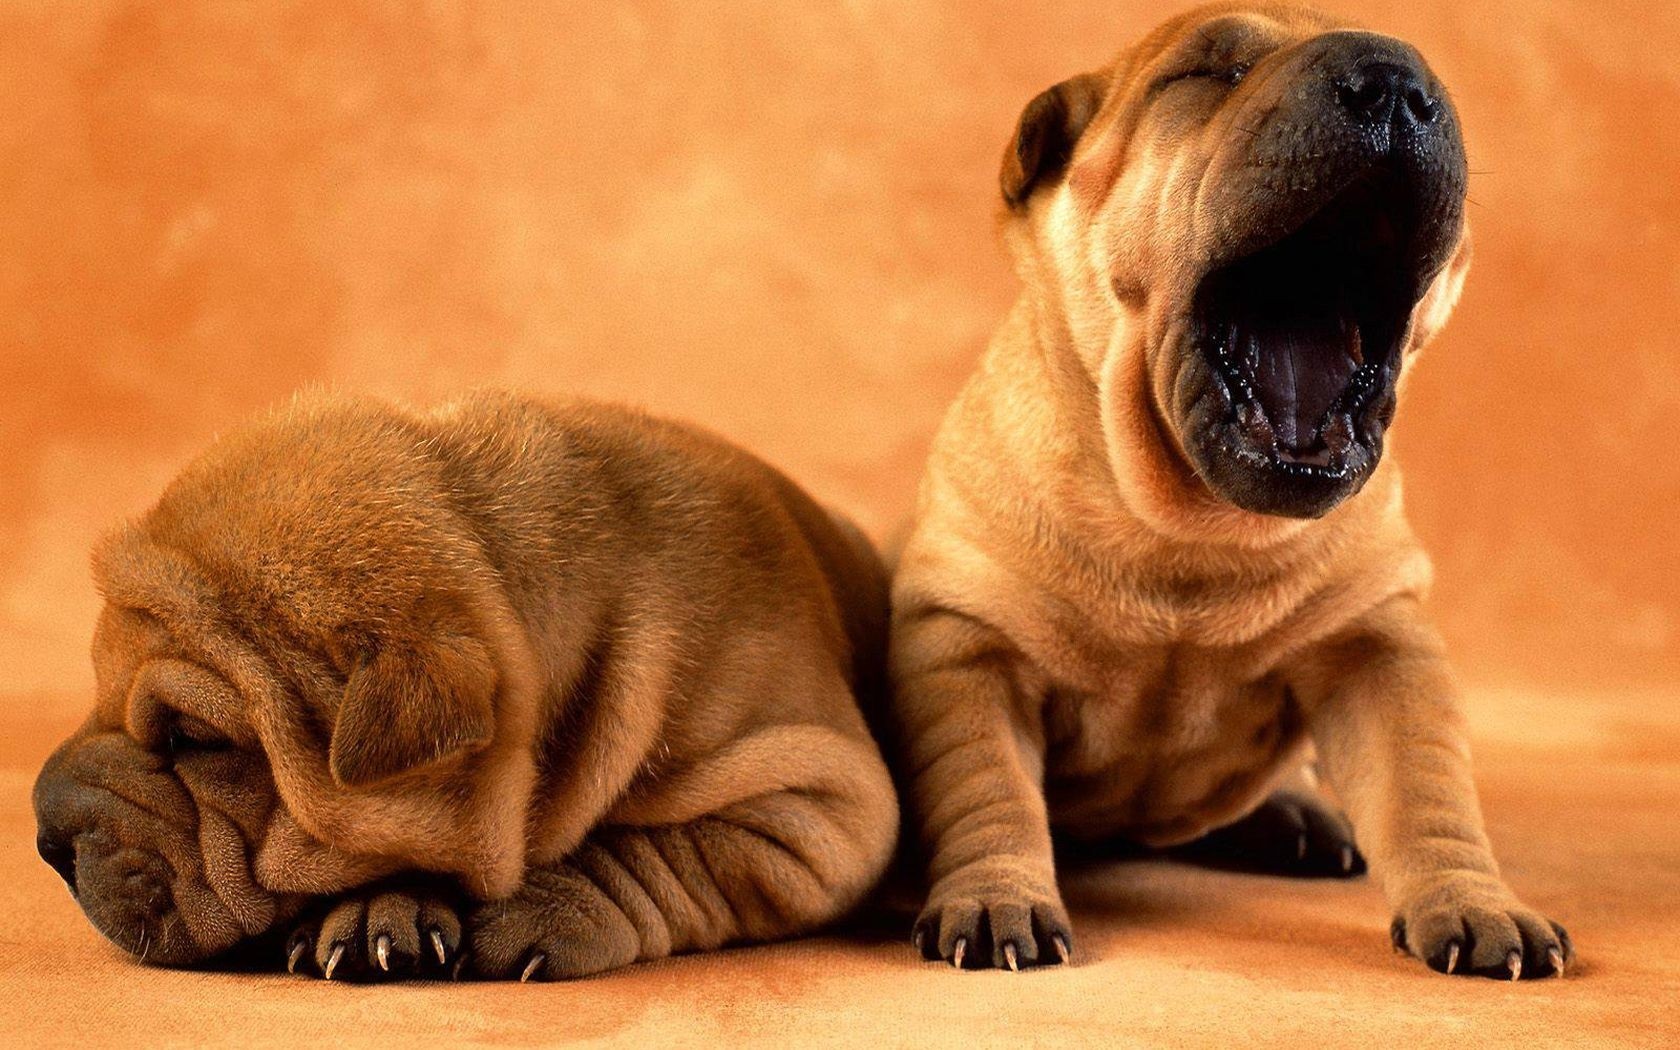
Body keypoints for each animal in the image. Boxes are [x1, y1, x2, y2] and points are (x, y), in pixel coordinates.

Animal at [32, 389, 900, 981]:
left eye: (195, 739)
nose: (43, 837)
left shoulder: (815, 802)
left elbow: (666, 852)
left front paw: (542, 905)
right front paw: (387, 906)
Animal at [893, 4, 1572, 981]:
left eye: (1424, 77)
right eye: (1206, 74)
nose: (1395, 83)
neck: (1189, 532)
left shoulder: (1377, 641)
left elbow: (1426, 785)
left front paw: (1476, 902)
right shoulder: (967, 643)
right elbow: (987, 786)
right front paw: (995, 898)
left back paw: (1295, 813)